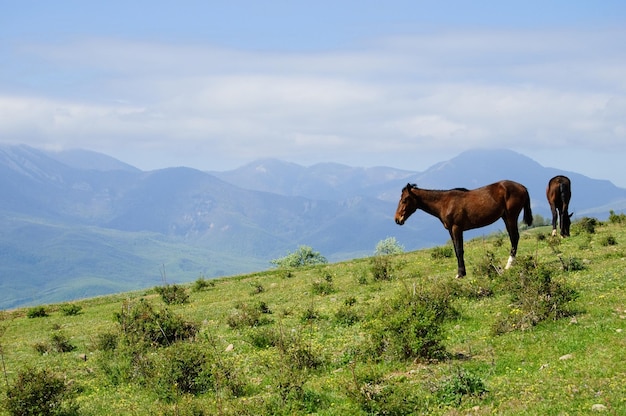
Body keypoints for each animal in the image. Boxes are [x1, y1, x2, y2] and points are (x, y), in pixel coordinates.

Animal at [392, 180, 528, 278]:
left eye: (404, 200)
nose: (397, 219)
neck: (444, 203)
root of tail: (522, 187)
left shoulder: (456, 228)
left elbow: (459, 250)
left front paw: (460, 274)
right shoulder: (451, 230)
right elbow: (457, 251)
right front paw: (461, 272)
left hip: (511, 217)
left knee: (514, 237)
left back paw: (509, 265)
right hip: (505, 217)